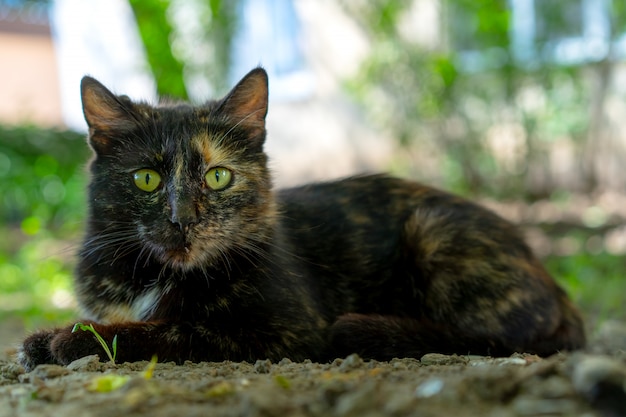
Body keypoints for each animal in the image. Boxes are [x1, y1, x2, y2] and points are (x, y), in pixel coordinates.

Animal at [20, 66, 584, 368]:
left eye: (218, 177)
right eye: (147, 180)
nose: (183, 218)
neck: (156, 275)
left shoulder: (287, 332)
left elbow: (175, 329)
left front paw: (70, 339)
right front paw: (41, 338)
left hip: (434, 231)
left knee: (497, 339)